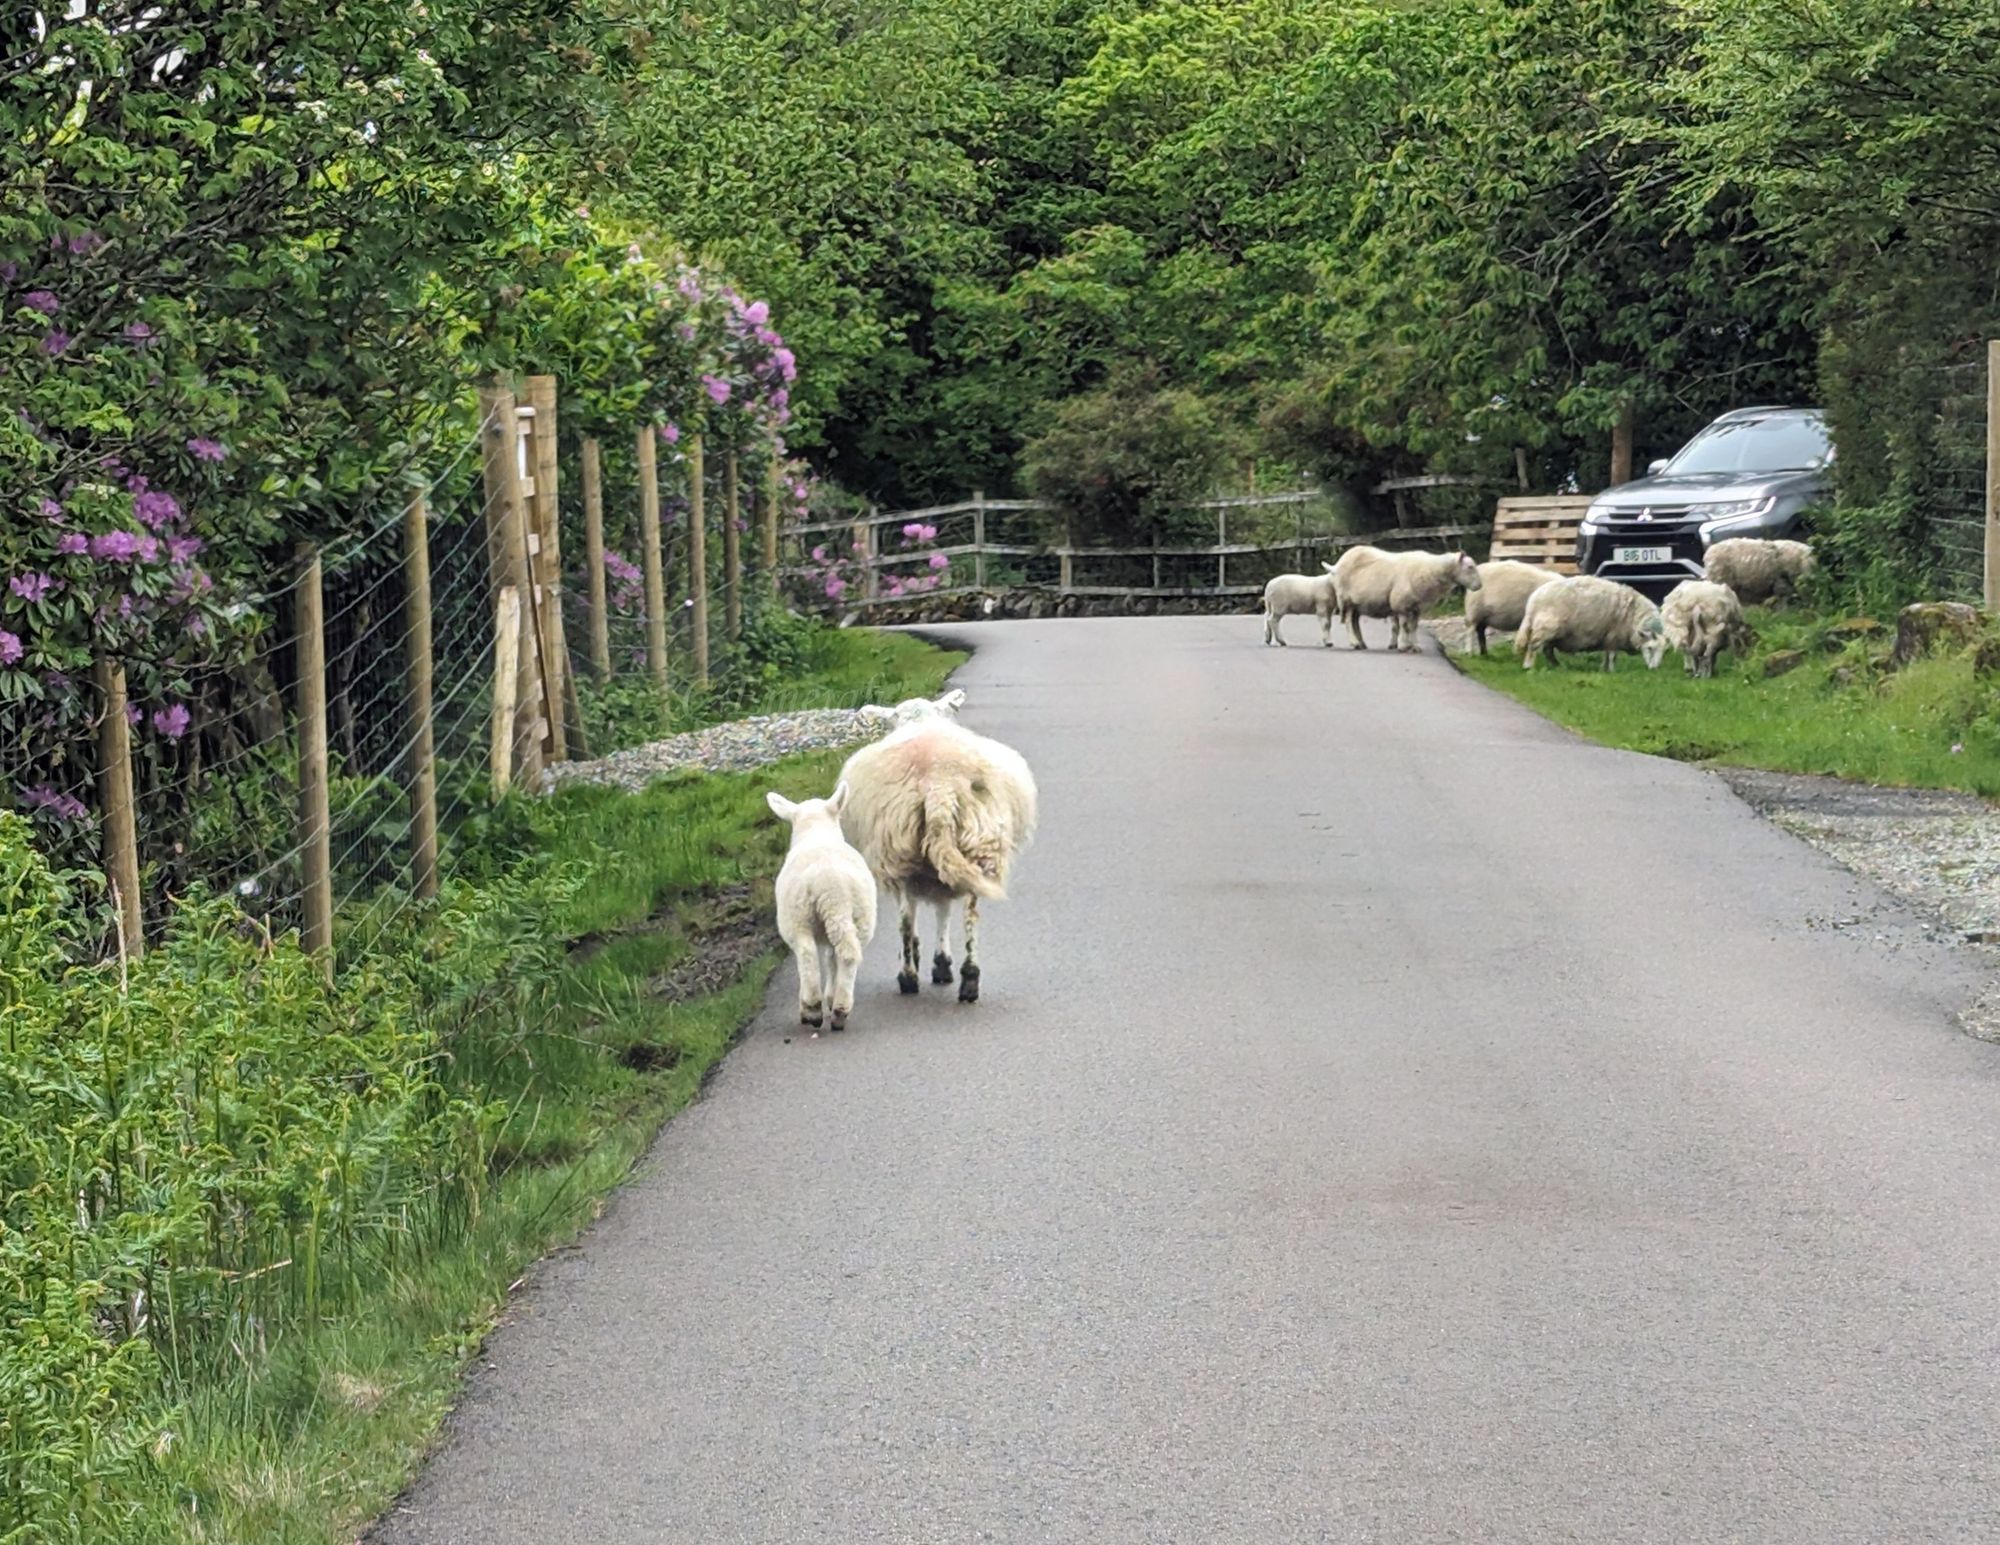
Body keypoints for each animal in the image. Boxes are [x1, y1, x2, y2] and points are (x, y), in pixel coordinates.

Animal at [765, 781, 878, 1033]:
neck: (817, 831)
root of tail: (833, 889)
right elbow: (832, 959)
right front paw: (831, 997)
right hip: (858, 915)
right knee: (848, 954)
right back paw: (840, 1008)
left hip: (797, 916)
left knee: (807, 955)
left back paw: (812, 1009)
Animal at [838, 718, 1037, 1004]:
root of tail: (939, 781)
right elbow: (943, 909)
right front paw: (941, 964)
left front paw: (936, 962)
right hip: (978, 845)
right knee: (969, 916)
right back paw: (969, 980)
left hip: (899, 856)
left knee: (906, 920)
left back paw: (908, 977)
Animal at [1330, 546, 1483, 652]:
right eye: (1470, 567)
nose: (1479, 586)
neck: (1431, 570)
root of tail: (1338, 562)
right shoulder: (1401, 604)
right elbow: (1404, 626)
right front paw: (1403, 646)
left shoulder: (1417, 608)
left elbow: (1413, 627)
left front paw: (1415, 646)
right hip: (1346, 599)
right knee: (1348, 621)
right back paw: (1354, 643)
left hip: (1357, 603)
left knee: (1355, 622)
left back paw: (1361, 643)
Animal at [1516, 574, 1668, 672]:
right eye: (1650, 648)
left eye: (1663, 651)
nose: (1654, 669)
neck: (1635, 616)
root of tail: (1532, 603)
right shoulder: (1613, 636)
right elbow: (1612, 656)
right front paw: (1611, 671)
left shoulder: (1608, 638)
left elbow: (1607, 656)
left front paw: (1604, 669)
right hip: (1546, 628)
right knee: (1533, 646)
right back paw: (1528, 666)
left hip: (1553, 634)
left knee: (1547, 651)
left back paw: (1558, 666)